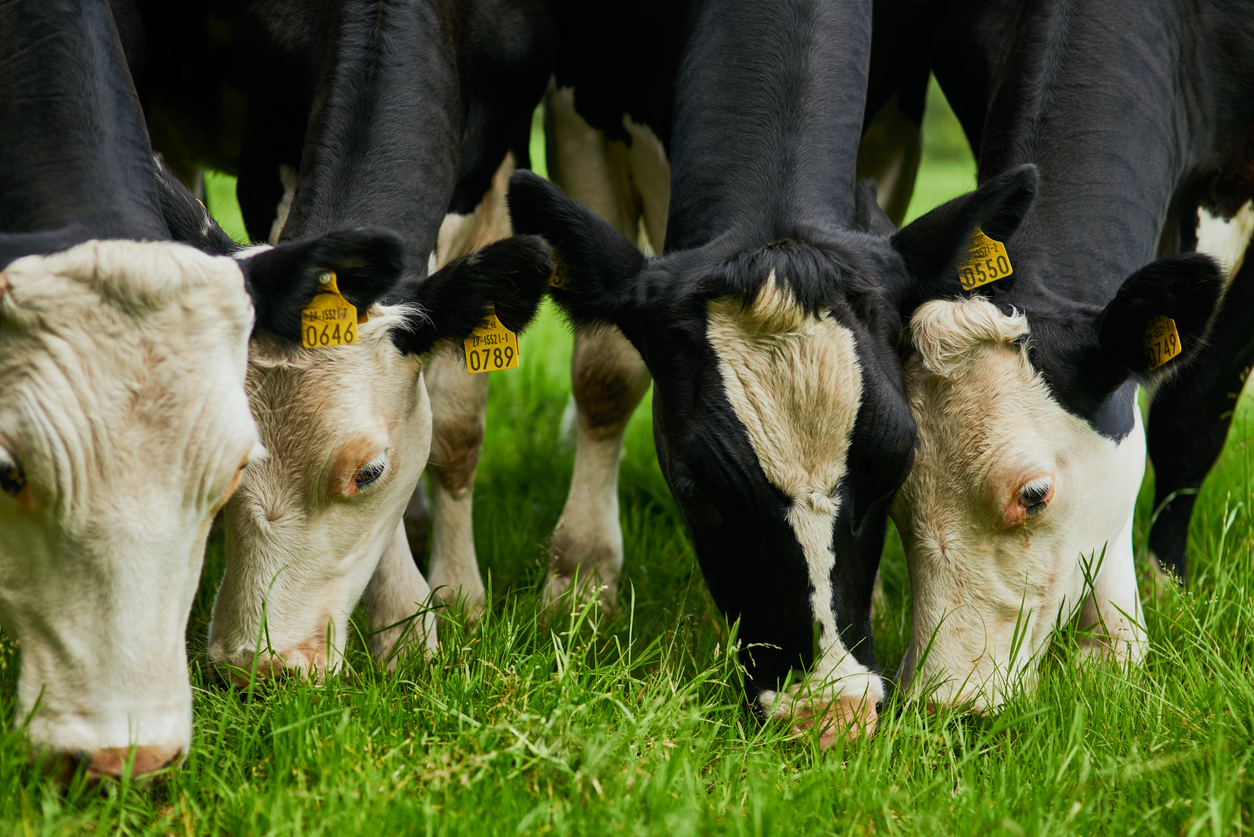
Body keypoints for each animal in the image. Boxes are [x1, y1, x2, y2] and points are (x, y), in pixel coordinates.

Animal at [504, 0, 1033, 747]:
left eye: (898, 464)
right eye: (696, 488)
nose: (830, 716)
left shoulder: (892, 127)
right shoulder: (582, 110)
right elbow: (606, 370)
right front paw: (579, 580)